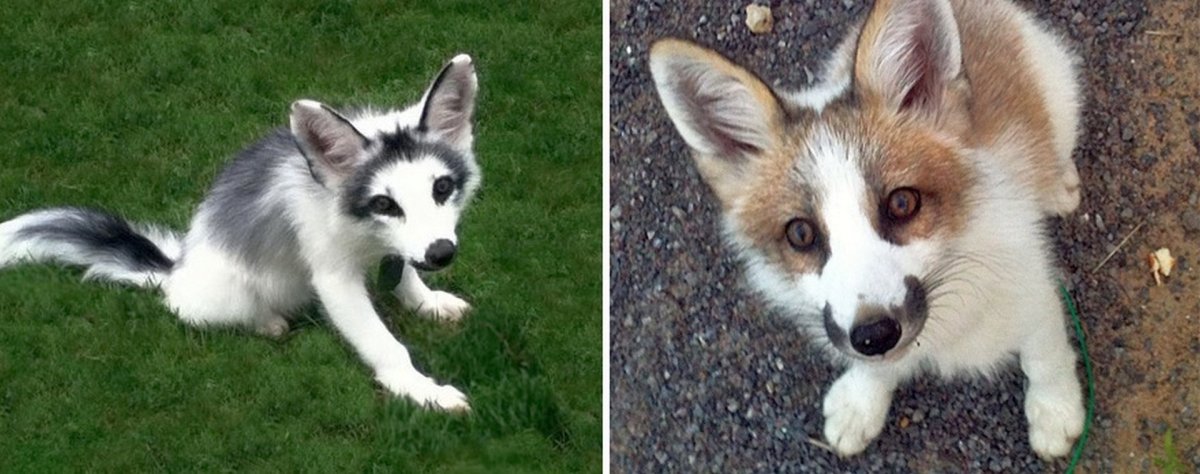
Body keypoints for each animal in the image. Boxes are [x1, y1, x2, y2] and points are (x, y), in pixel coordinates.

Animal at [0, 55, 481, 411]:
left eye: (442, 188)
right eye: (384, 204)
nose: (441, 254)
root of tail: (176, 268)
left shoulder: (397, 250)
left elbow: (404, 275)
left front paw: (427, 302)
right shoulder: (333, 276)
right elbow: (383, 344)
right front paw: (421, 390)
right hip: (222, 296)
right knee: (197, 312)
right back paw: (265, 323)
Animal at [649, 0, 1085, 458]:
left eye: (902, 203)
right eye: (800, 234)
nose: (876, 334)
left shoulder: (1034, 293)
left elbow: (1046, 357)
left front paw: (1054, 410)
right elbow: (873, 369)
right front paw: (862, 402)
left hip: (1059, 93)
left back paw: (1059, 185)